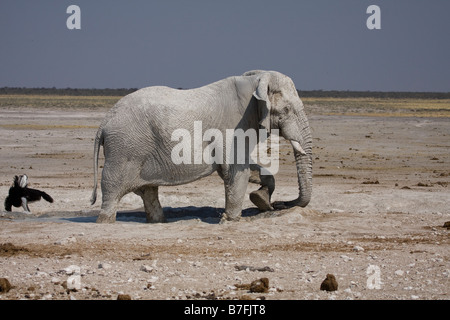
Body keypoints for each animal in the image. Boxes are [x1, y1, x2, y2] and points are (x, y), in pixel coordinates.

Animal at [89, 70, 312, 222]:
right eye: (287, 110)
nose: (280, 204)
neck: (255, 80)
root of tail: (104, 123)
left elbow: (246, 167)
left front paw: (260, 199)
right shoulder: (233, 126)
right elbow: (235, 171)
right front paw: (230, 220)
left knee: (148, 191)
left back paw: (158, 221)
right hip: (123, 149)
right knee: (112, 191)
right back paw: (106, 222)